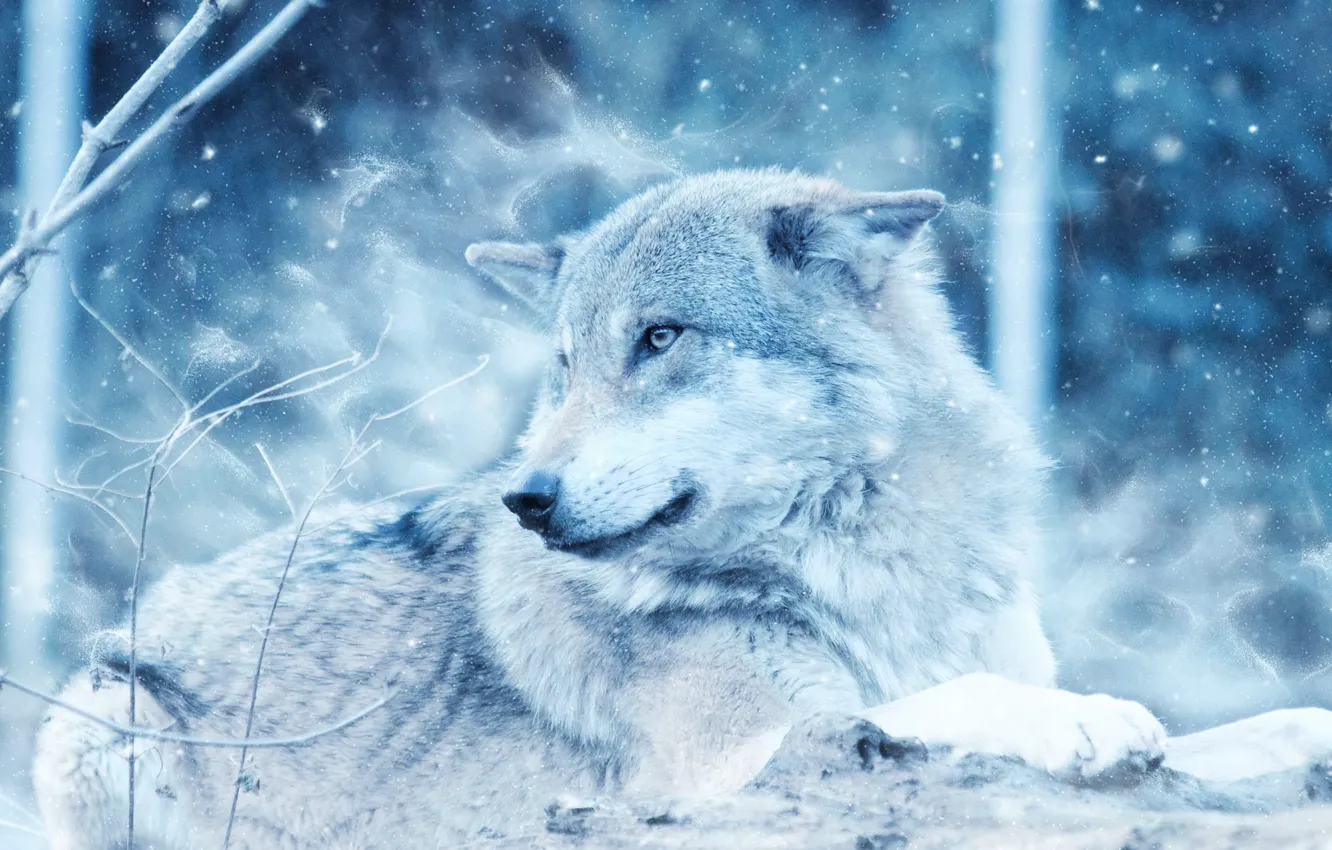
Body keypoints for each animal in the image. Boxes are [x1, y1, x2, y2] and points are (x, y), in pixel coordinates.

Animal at [30, 169, 1332, 848]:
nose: (526, 496)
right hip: (98, 713)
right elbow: (950, 700)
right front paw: (1085, 722)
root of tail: (153, 604)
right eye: (563, 364)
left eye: (659, 338)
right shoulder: (740, 760)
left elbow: (1249, 728)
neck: (872, 566)